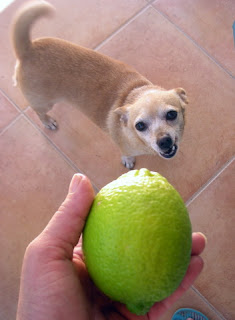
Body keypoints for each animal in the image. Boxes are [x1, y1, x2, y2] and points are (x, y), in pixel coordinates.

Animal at [11, 0, 189, 170]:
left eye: (172, 114)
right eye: (140, 126)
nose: (164, 141)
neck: (133, 93)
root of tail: (28, 49)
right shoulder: (125, 147)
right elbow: (127, 155)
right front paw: (128, 160)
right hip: (44, 103)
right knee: (38, 112)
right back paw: (48, 121)